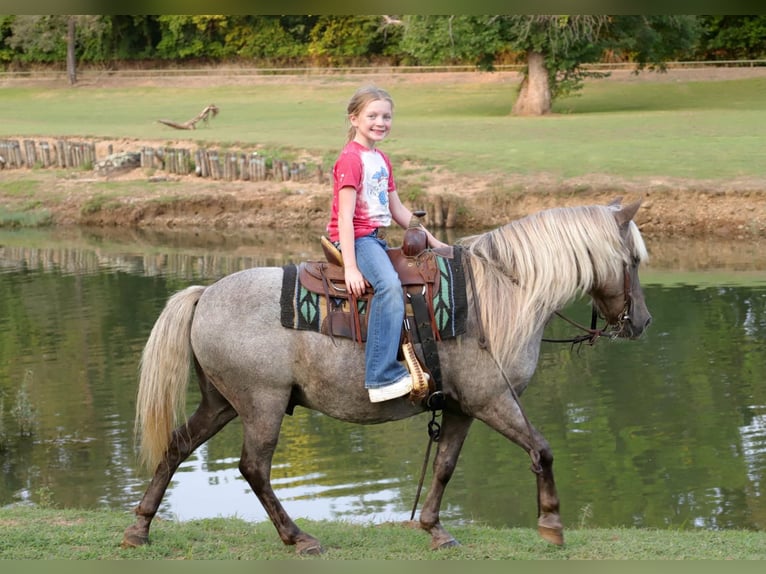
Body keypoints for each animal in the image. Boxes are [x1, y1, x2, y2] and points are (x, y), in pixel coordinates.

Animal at [123, 199, 652, 560]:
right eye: (634, 261)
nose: (642, 322)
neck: (501, 294)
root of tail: (204, 294)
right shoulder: (493, 400)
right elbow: (541, 449)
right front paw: (551, 522)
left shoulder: (461, 407)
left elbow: (445, 466)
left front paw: (435, 529)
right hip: (261, 405)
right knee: (254, 468)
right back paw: (299, 537)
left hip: (221, 402)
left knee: (176, 446)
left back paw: (140, 528)